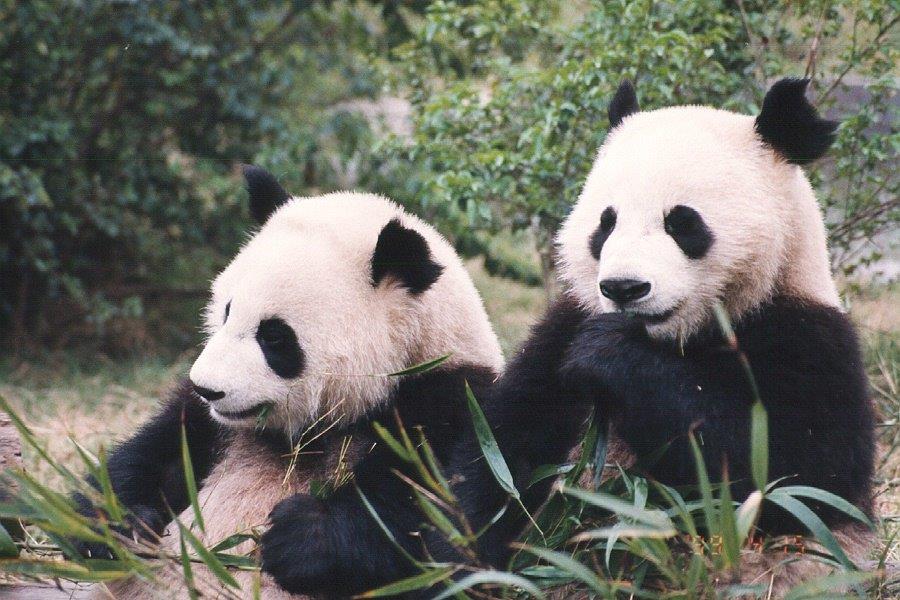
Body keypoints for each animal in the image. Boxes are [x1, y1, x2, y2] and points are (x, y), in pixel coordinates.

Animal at [74, 165, 502, 600]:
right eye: (226, 311)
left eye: (274, 336)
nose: (207, 388)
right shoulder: (210, 426)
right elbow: (152, 455)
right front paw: (119, 522)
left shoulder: (449, 403)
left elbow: (435, 526)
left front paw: (300, 537)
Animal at [454, 77, 876, 592]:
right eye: (606, 222)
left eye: (682, 222)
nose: (624, 288)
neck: (676, 337)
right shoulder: (560, 330)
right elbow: (497, 454)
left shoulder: (807, 337)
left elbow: (796, 473)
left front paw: (607, 355)